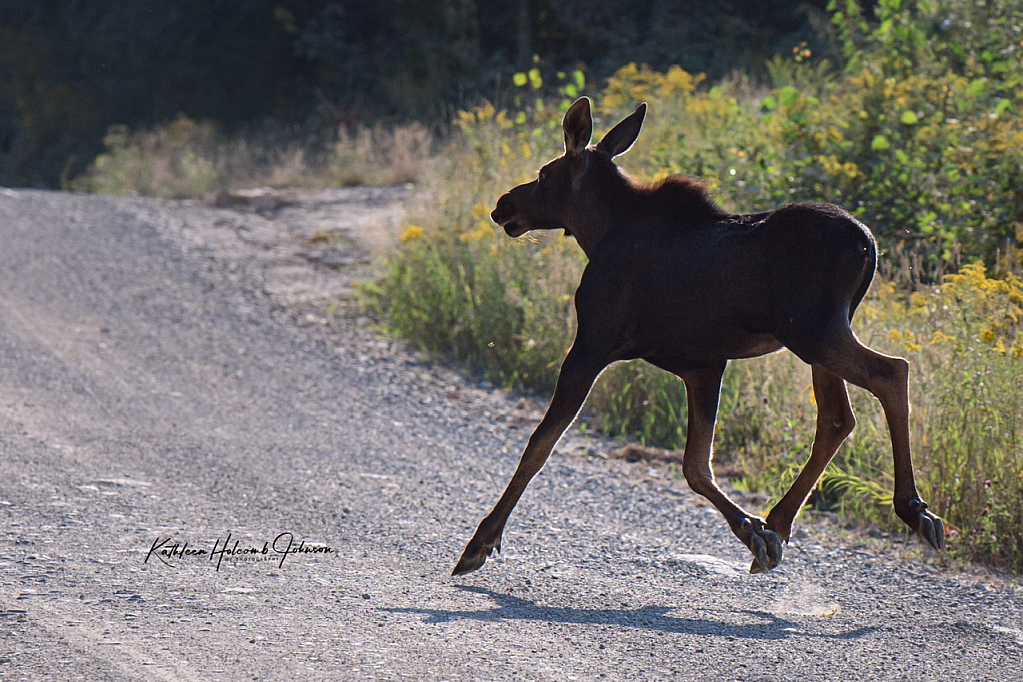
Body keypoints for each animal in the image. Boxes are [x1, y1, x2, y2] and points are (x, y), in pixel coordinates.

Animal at [452, 96, 945, 576]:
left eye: (542, 174)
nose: (504, 205)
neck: (599, 232)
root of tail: (868, 244)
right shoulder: (702, 364)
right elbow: (695, 466)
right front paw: (755, 533)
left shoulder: (592, 341)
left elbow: (541, 443)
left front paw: (480, 542)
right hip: (820, 336)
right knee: (838, 416)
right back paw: (781, 520)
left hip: (814, 332)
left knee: (891, 372)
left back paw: (913, 509)